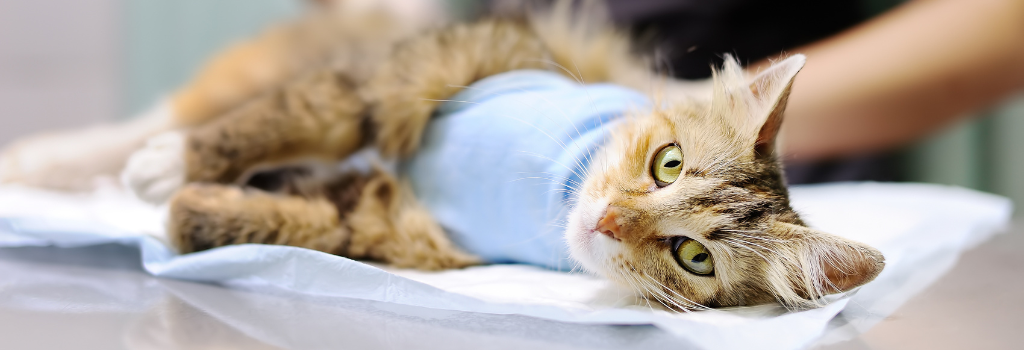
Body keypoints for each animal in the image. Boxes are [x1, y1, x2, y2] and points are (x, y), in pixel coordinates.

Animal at [0, 1, 884, 311]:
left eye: (693, 255)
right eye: (667, 163)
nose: (606, 220)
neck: (553, 184)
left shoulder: (398, 231)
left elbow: (296, 222)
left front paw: (195, 209)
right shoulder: (407, 80)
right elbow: (284, 122)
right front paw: (176, 170)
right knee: (165, 115)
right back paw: (54, 160)